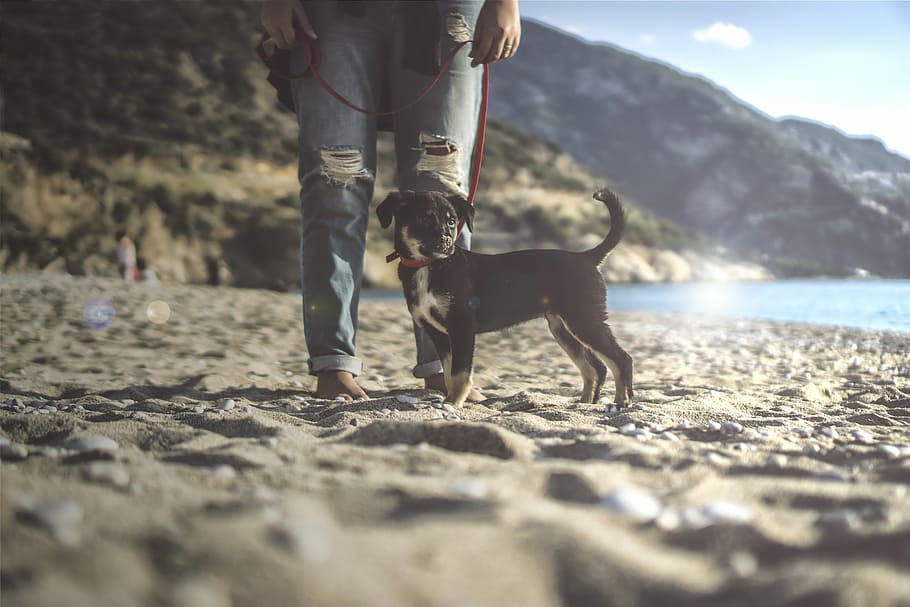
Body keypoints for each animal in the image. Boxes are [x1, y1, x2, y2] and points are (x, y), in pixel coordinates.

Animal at [378, 189, 636, 408]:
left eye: (451, 221)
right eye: (423, 219)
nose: (446, 242)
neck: (429, 266)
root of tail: (587, 257)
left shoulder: (461, 326)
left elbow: (460, 372)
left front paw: (453, 403)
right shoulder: (438, 332)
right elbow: (450, 370)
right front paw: (451, 400)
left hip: (583, 318)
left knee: (621, 359)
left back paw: (621, 402)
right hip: (563, 328)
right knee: (595, 367)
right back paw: (584, 404)